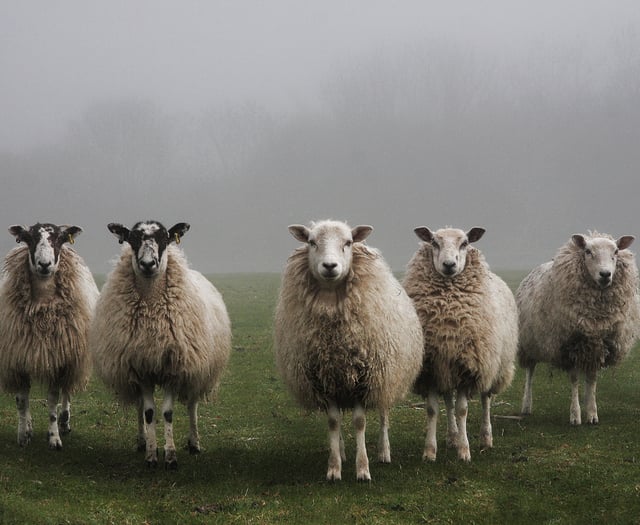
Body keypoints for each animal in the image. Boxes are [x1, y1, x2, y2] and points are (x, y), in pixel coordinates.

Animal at [0, 223, 99, 448]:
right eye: (30, 238)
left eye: (59, 239)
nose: (44, 264)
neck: (42, 305)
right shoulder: (18, 358)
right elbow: (21, 401)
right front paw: (23, 435)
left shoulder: (59, 359)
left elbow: (53, 399)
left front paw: (54, 437)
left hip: (72, 356)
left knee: (67, 391)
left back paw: (64, 421)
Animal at [88, 220, 230, 466]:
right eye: (132, 239)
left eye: (165, 238)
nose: (147, 264)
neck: (152, 309)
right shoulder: (141, 368)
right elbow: (149, 413)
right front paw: (152, 455)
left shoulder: (174, 367)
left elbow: (167, 413)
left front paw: (171, 455)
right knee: (140, 406)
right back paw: (142, 441)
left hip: (197, 367)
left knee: (192, 404)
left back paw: (194, 443)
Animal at [272, 219, 422, 482]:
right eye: (311, 242)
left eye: (349, 242)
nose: (330, 266)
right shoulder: (324, 377)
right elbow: (333, 422)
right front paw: (334, 468)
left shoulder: (365, 377)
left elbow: (360, 422)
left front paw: (362, 469)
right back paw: (341, 452)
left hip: (386, 374)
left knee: (383, 413)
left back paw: (384, 452)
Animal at [404, 225, 520, 458]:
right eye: (434, 242)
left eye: (465, 243)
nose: (449, 265)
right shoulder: (432, 368)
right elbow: (433, 410)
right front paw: (430, 451)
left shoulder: (470, 367)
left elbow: (462, 410)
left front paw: (464, 451)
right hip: (447, 369)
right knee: (448, 402)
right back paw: (452, 437)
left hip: (492, 366)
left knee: (486, 399)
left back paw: (486, 437)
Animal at [516, 231, 640, 424]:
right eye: (588, 251)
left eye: (616, 251)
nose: (605, 274)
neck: (596, 316)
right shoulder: (570, 345)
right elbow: (574, 379)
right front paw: (575, 415)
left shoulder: (597, 346)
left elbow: (592, 379)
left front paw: (592, 413)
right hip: (528, 341)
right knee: (530, 371)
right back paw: (526, 405)